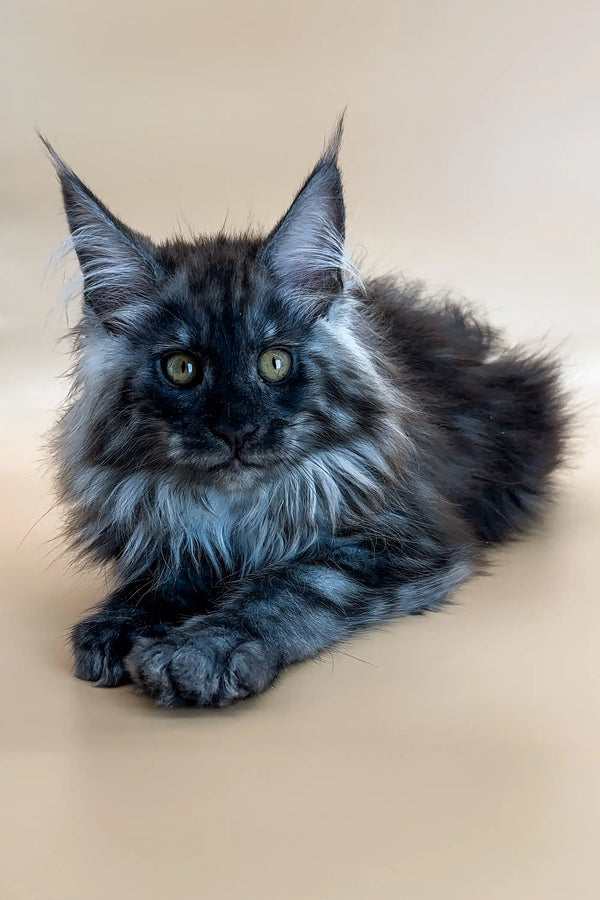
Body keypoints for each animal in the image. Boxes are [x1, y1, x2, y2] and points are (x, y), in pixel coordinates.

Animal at [42, 121, 568, 712]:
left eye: (274, 362)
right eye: (181, 368)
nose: (237, 428)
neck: (236, 517)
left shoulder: (398, 543)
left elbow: (291, 586)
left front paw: (202, 649)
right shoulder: (174, 537)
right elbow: (165, 576)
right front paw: (121, 621)